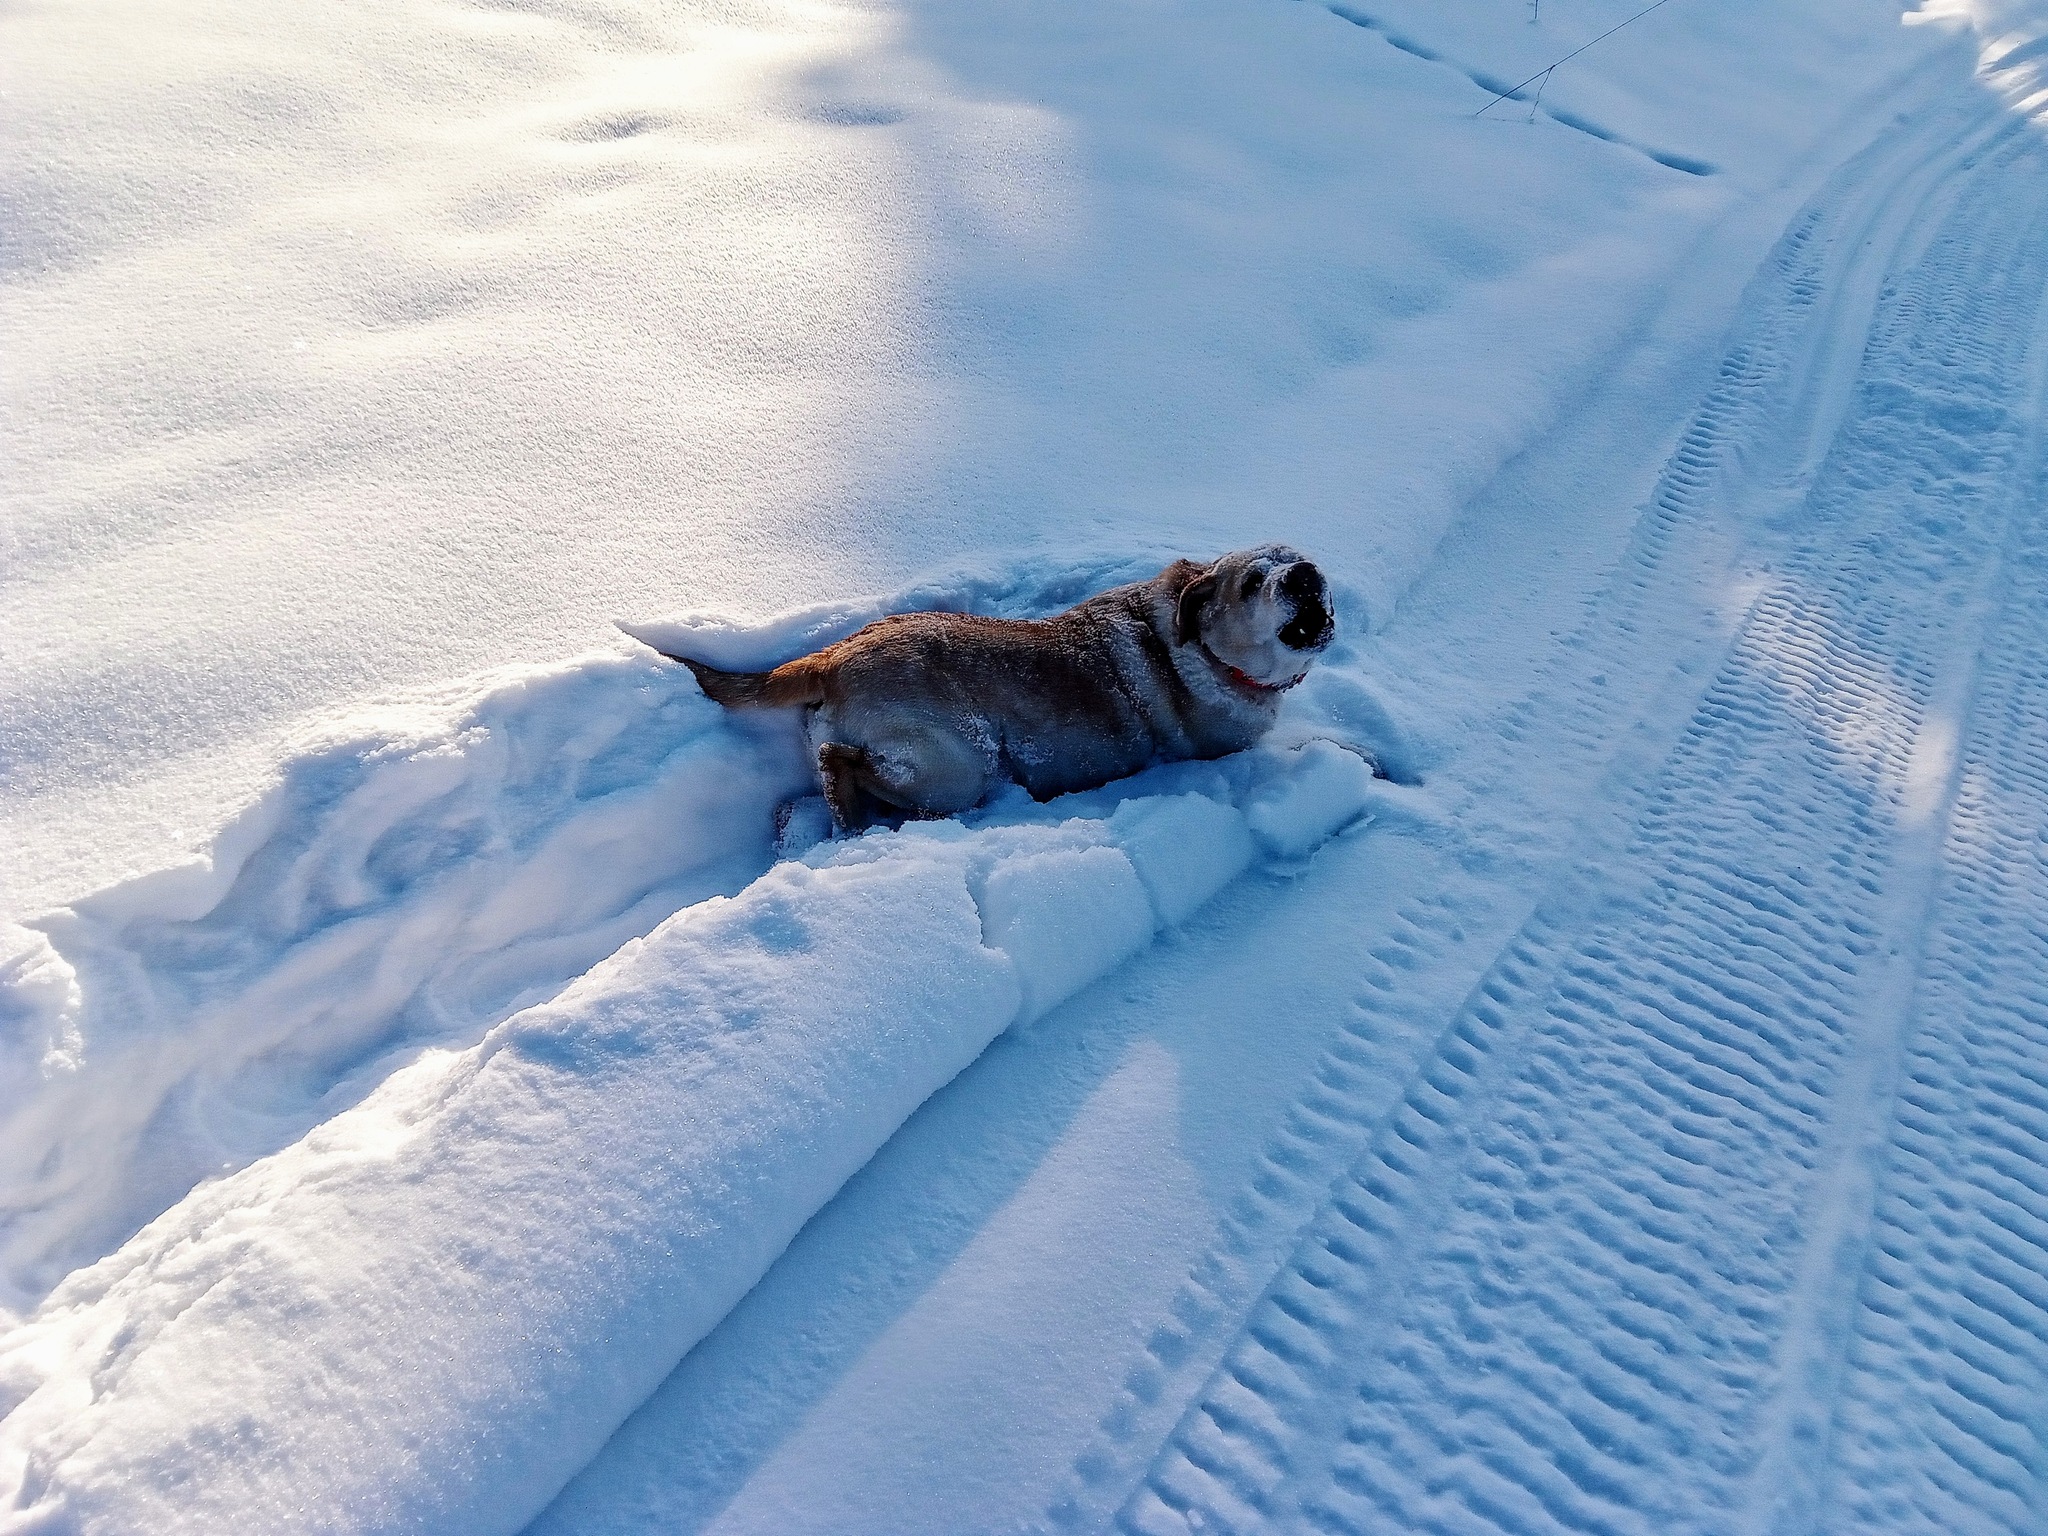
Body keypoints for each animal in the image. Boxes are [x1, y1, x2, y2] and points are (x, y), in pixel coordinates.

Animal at [647, 544, 1335, 831]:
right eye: (1253, 583)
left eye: (1294, 555)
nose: (1306, 574)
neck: (1205, 651)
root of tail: (834, 656)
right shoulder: (1230, 749)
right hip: (962, 764)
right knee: (840, 758)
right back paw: (849, 817)